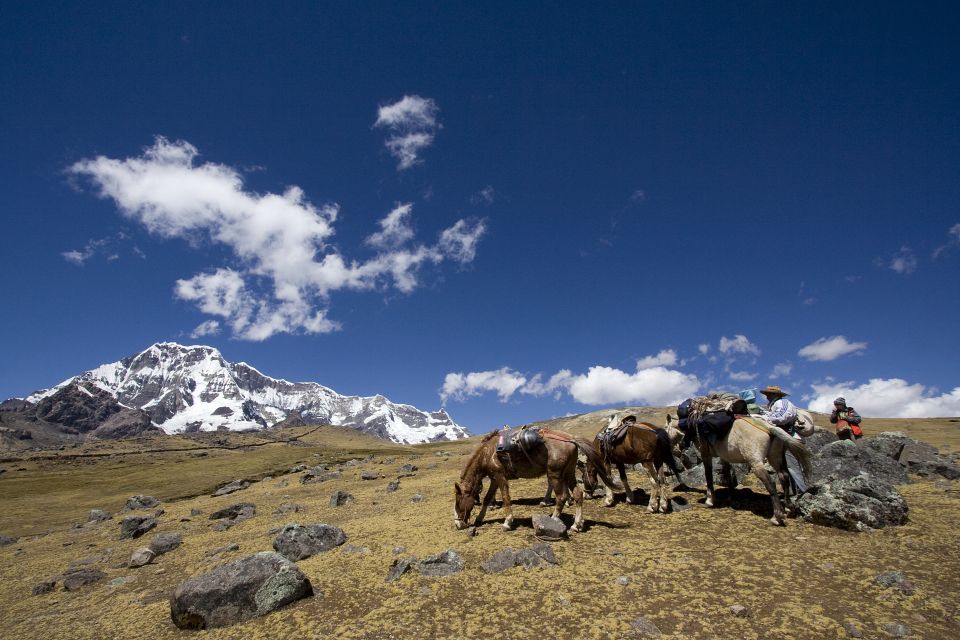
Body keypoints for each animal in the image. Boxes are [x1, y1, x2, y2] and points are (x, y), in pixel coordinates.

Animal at [452, 430, 616, 536]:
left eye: (458, 502)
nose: (457, 525)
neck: (488, 453)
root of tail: (571, 439)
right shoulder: (494, 479)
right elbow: (487, 499)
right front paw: (480, 518)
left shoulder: (500, 477)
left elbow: (505, 498)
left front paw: (507, 522)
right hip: (568, 473)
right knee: (577, 494)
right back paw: (576, 525)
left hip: (555, 474)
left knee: (561, 497)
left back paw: (554, 519)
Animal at [668, 416, 808, 524]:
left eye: (666, 428)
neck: (692, 426)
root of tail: (769, 428)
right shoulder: (724, 457)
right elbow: (728, 474)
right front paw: (731, 496)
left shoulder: (705, 454)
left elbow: (708, 475)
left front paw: (710, 500)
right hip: (775, 457)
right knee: (784, 476)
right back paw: (789, 508)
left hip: (755, 462)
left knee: (771, 483)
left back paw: (777, 517)